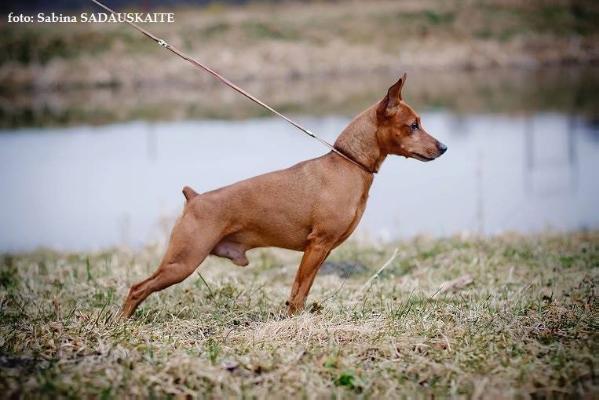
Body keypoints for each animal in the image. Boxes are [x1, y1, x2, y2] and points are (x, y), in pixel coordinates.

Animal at [120, 74, 446, 318]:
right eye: (413, 125)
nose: (443, 147)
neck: (348, 164)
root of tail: (195, 198)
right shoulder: (317, 245)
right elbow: (298, 290)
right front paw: (294, 320)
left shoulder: (321, 251)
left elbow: (302, 290)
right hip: (183, 262)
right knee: (138, 288)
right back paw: (121, 321)